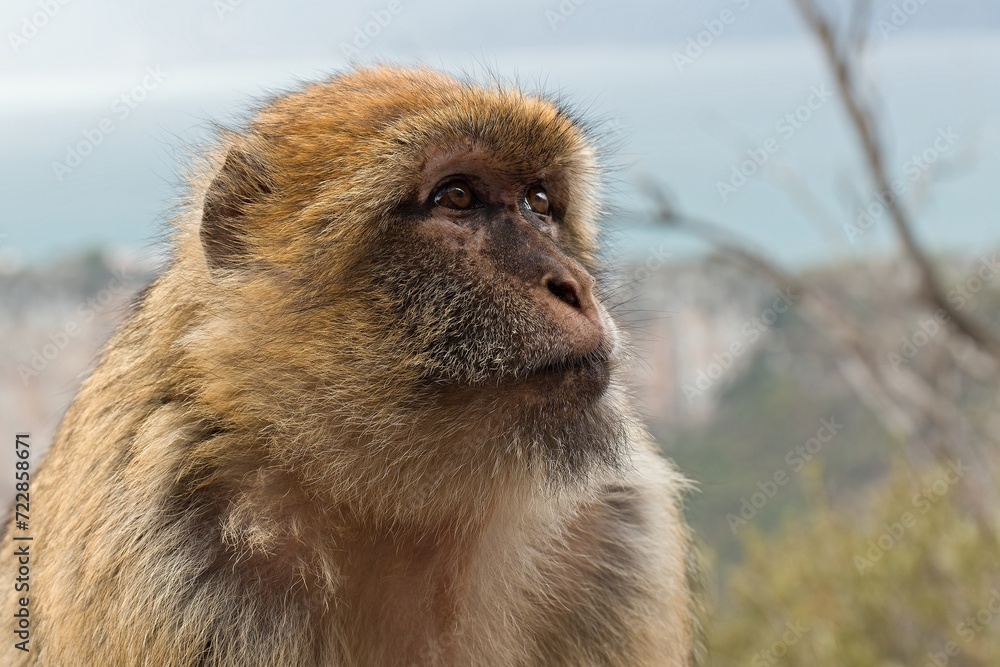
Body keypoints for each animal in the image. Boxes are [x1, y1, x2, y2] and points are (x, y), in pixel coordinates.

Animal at [2, 66, 696, 666]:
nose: (574, 285)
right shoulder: (175, 554)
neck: (397, 497)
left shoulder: (617, 532)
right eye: (457, 197)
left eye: (539, 202)